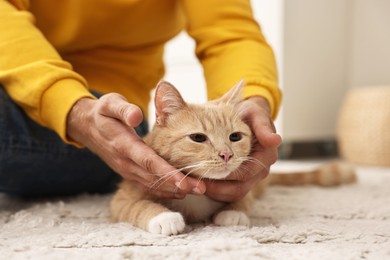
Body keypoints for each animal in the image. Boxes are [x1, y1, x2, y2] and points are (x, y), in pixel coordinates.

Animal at [110, 80, 356, 236]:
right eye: (198, 138)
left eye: (235, 136)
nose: (227, 154)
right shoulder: (123, 198)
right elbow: (138, 206)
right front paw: (164, 218)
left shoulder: (247, 189)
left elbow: (243, 199)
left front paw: (232, 213)